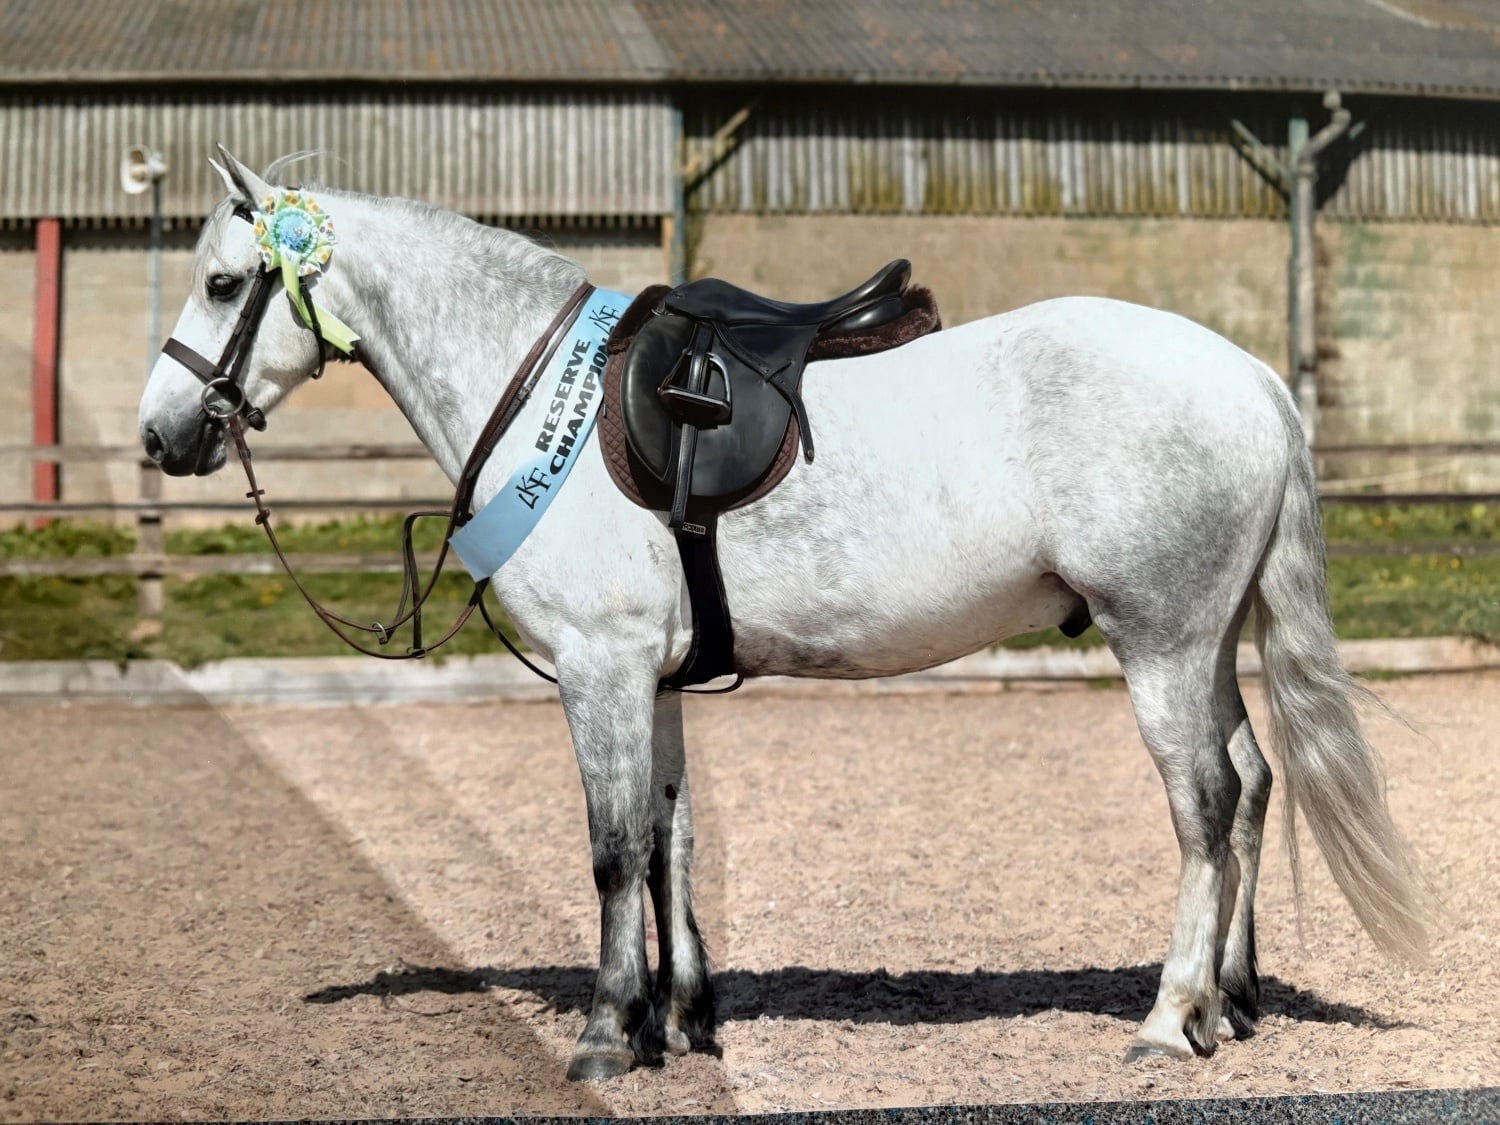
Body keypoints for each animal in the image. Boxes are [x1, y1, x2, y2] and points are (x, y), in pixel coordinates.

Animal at [138, 149, 1433, 1081]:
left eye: (221, 282)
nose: (160, 435)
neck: (541, 388)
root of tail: (1252, 376)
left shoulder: (601, 669)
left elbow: (611, 850)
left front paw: (606, 1035)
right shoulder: (650, 677)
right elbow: (669, 839)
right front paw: (679, 1021)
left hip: (1158, 640)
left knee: (1204, 806)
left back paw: (1168, 1022)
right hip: (1205, 640)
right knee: (1253, 783)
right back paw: (1233, 1003)